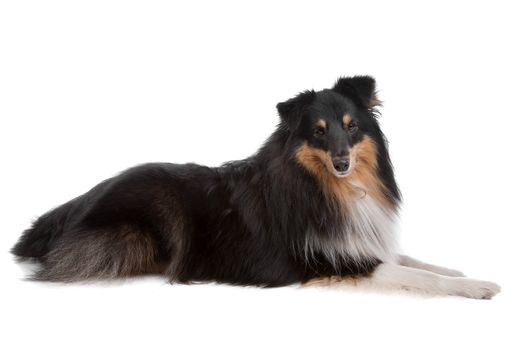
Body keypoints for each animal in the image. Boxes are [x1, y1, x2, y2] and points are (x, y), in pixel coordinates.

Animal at [11, 76, 500, 298]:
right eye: (318, 132)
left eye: (351, 126)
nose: (342, 162)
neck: (326, 188)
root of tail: (73, 205)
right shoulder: (328, 259)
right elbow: (414, 274)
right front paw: (478, 287)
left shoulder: (359, 241)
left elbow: (416, 261)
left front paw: (459, 271)